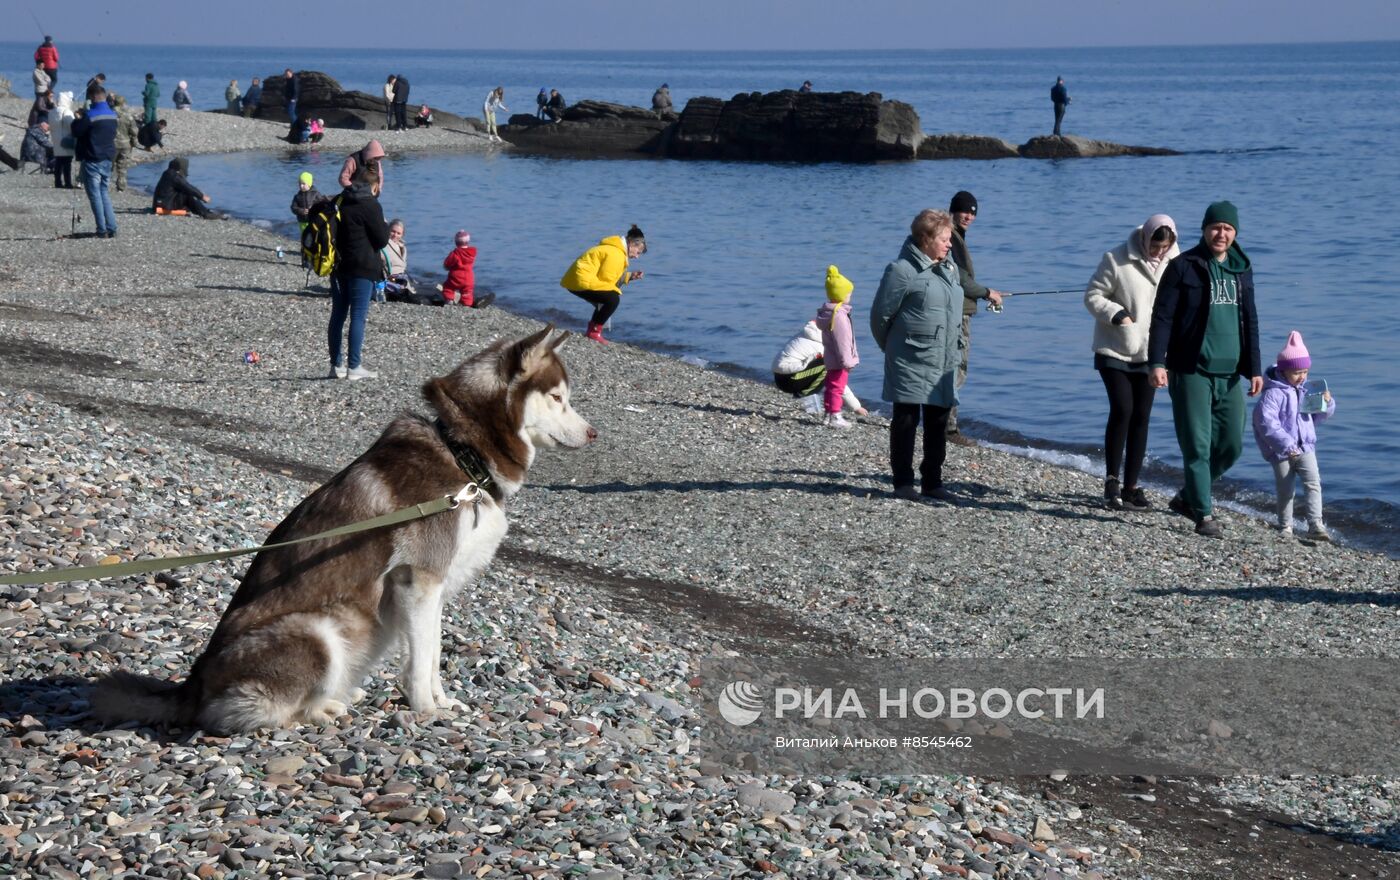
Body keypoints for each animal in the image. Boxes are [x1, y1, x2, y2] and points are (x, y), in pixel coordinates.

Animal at [91, 325, 596, 733]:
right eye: (558, 398)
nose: (594, 435)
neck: (464, 456)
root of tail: (193, 685)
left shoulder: (433, 589)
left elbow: (431, 654)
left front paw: (441, 700)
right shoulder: (418, 580)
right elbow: (420, 663)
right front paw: (426, 710)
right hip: (318, 633)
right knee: (239, 713)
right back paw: (319, 710)